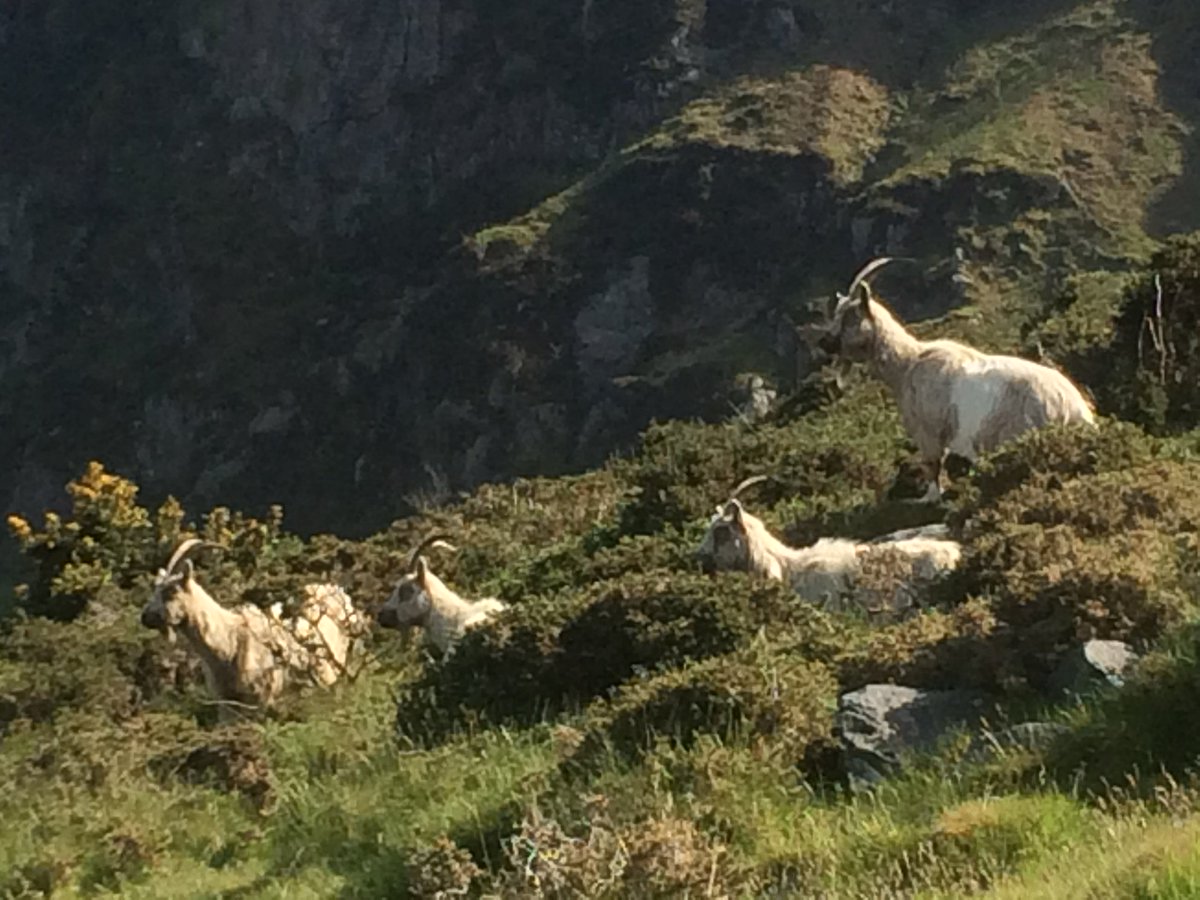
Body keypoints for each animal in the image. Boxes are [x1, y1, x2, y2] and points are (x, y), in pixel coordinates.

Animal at [140, 539, 367, 719]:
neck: (229, 642)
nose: (145, 617)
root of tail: (340, 594)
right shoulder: (226, 705)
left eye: (171, 591)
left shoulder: (261, 700)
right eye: (155, 589)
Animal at [812, 257, 1096, 500]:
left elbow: (933, 464)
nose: (825, 342)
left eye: (850, 316)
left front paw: (930, 497)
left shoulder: (928, 432)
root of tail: (1075, 410)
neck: (908, 364)